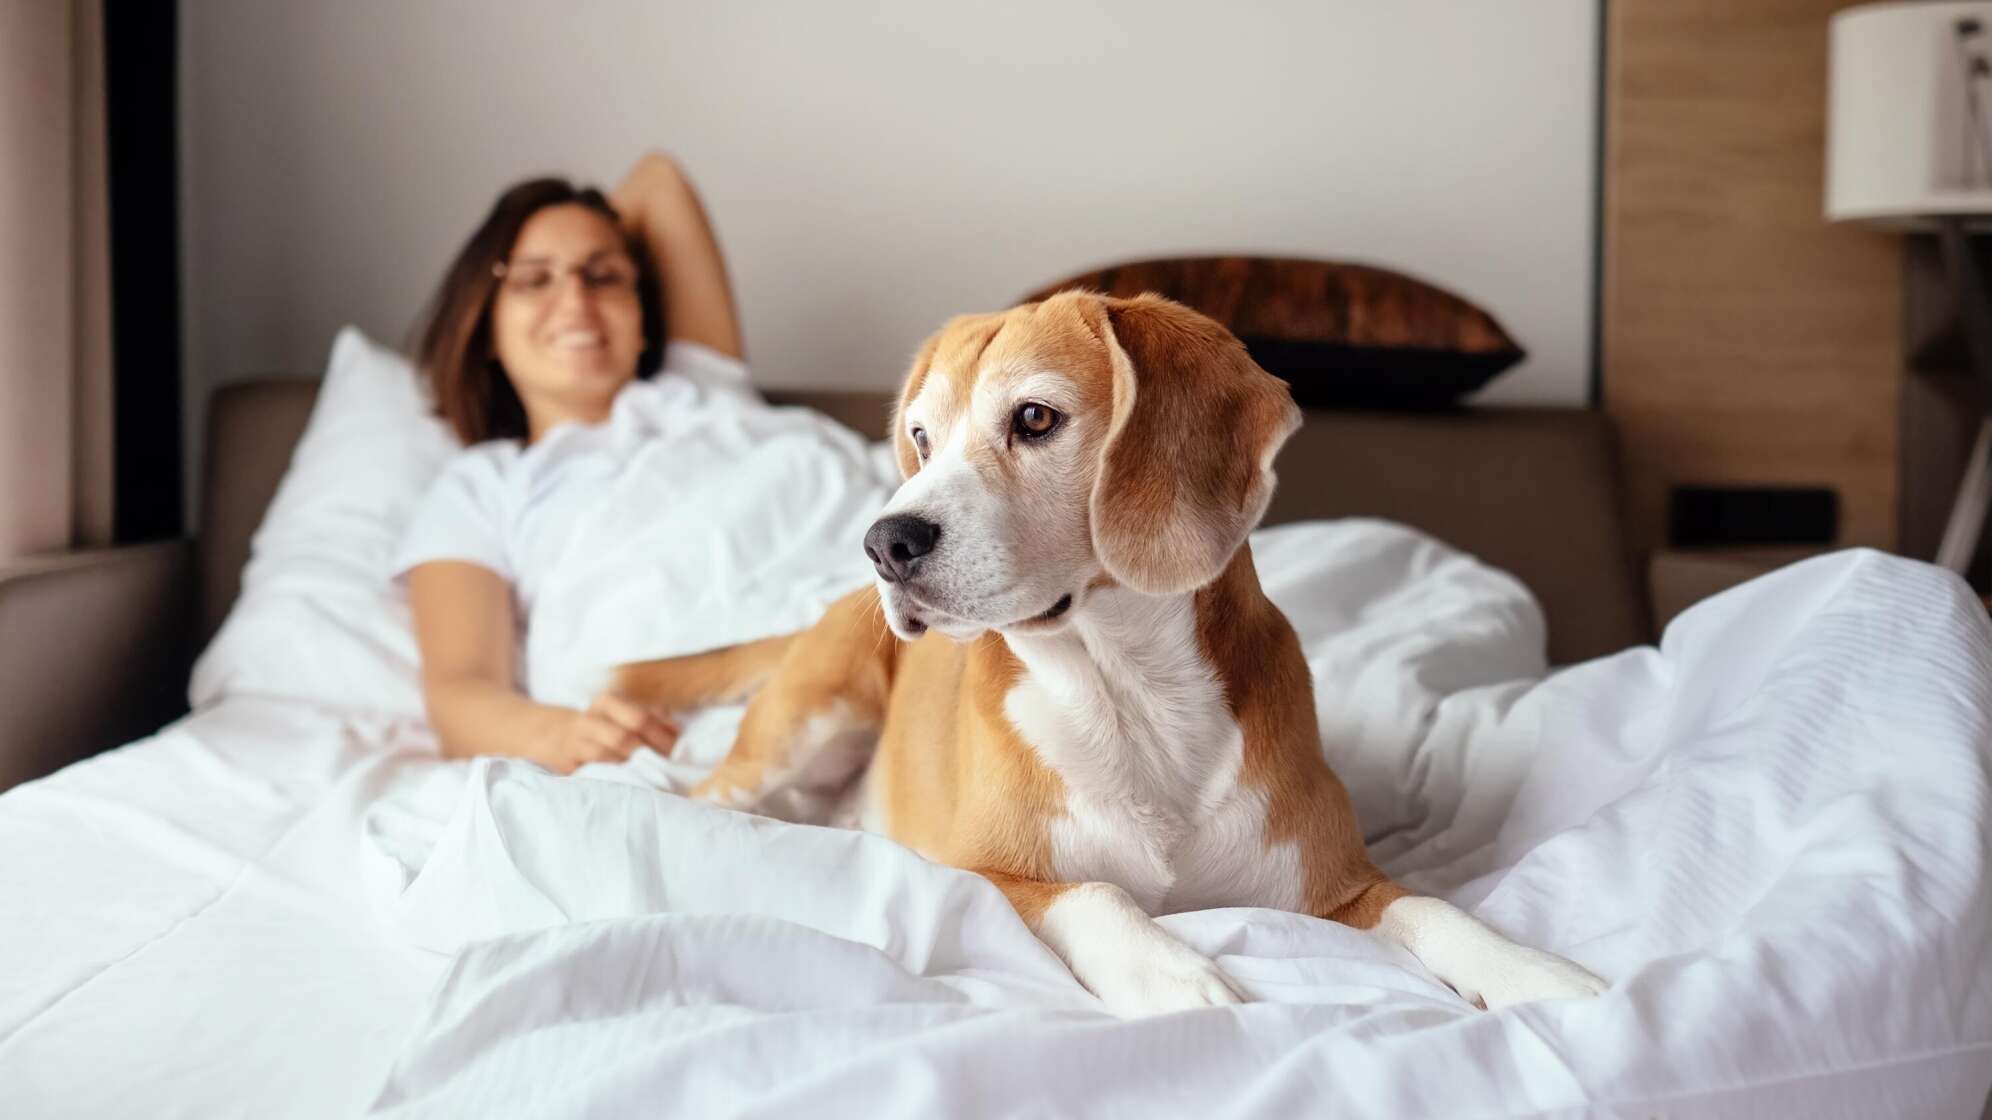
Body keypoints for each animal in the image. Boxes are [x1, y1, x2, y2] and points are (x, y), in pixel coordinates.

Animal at [613, 292, 1609, 1016]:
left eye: (1035, 419)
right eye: (922, 439)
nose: (883, 543)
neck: (1128, 691)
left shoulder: (1340, 887)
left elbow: (1435, 907)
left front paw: (1534, 972)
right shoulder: (982, 874)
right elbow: (1095, 894)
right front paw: (1170, 973)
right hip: (805, 724)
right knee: (704, 793)